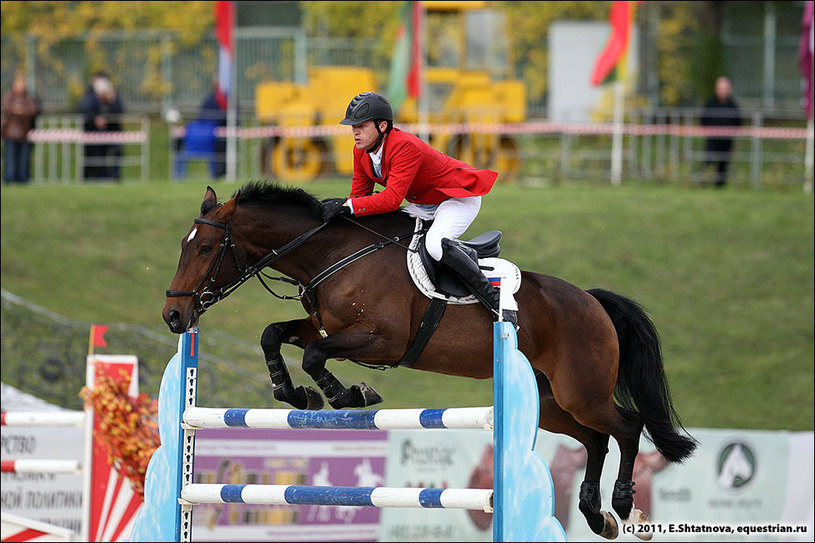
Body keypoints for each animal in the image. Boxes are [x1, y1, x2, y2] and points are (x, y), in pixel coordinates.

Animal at [163, 182, 700, 540]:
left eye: (206, 247)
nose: (174, 316)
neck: (331, 253)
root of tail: (592, 301)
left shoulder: (381, 340)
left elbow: (315, 355)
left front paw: (348, 394)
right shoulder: (326, 326)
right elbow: (274, 334)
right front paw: (293, 392)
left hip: (580, 390)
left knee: (626, 426)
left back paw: (622, 503)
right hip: (550, 402)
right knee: (594, 438)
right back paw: (594, 513)